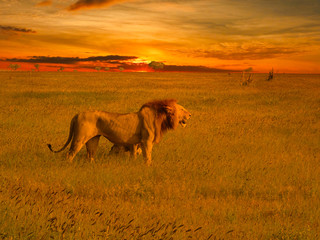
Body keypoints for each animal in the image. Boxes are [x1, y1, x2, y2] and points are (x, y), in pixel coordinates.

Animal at [47, 99, 191, 165]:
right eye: (182, 109)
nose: (190, 115)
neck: (161, 118)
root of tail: (77, 114)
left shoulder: (135, 143)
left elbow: (134, 155)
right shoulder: (146, 141)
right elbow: (147, 156)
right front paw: (148, 166)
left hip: (93, 140)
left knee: (90, 155)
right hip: (79, 138)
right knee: (70, 154)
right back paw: (69, 165)